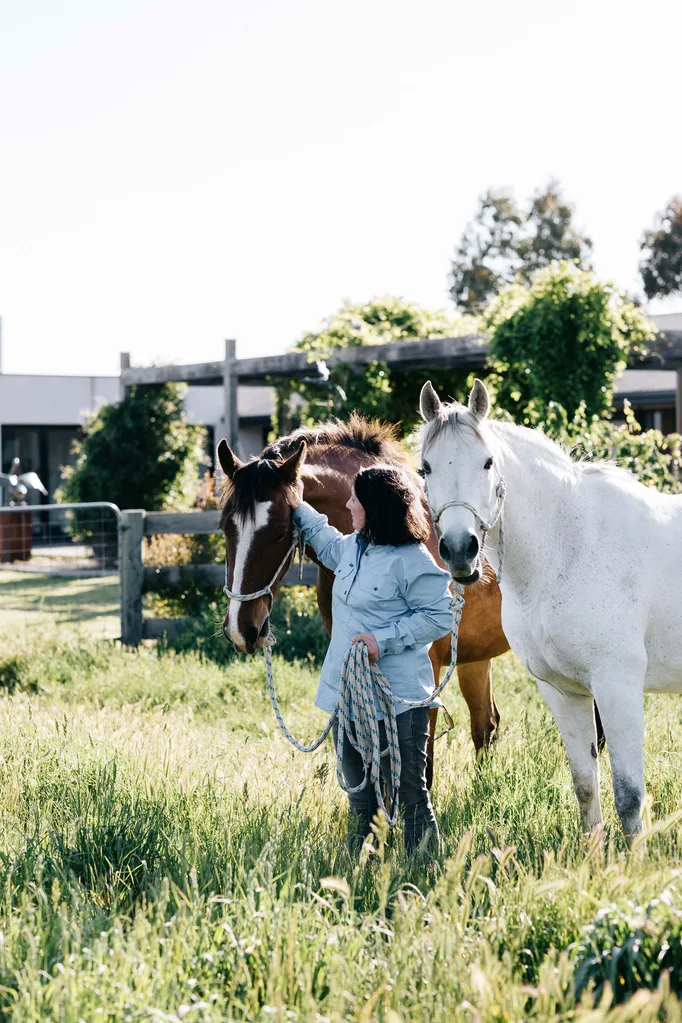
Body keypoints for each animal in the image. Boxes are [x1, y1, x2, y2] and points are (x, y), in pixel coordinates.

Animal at [217, 415, 510, 771]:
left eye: (280, 532)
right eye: (225, 527)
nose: (241, 629)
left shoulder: (425, 681)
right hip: (476, 658)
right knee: (486, 726)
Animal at [418, 377, 682, 838]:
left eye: (488, 462)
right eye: (426, 468)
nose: (460, 550)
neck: (571, 546)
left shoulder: (617, 687)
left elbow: (630, 798)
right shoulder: (563, 692)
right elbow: (586, 787)